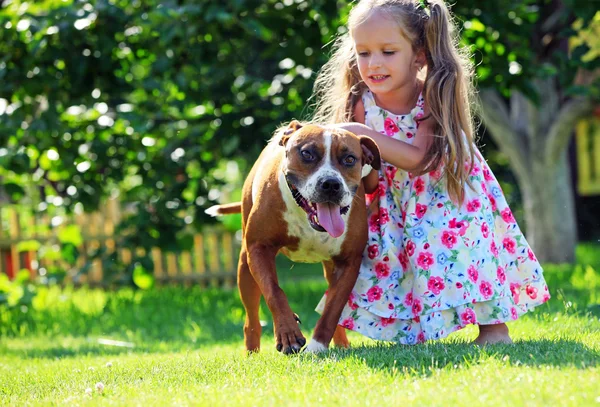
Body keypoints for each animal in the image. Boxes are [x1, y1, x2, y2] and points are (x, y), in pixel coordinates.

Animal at [204, 120, 378, 354]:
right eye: (307, 153)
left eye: (350, 159)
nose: (331, 184)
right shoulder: (259, 248)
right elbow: (274, 291)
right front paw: (288, 334)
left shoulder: (348, 262)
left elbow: (333, 309)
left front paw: (317, 347)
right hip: (244, 267)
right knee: (251, 319)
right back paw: (251, 353)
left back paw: (341, 344)